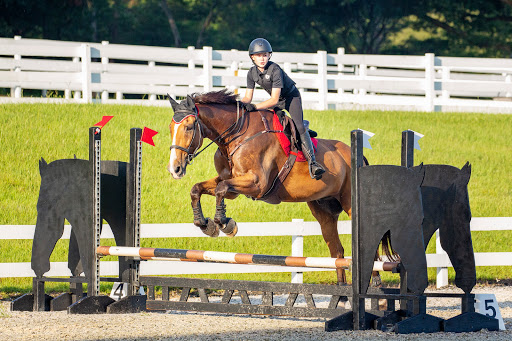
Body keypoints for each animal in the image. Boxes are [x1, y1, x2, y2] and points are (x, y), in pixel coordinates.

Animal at [166, 89, 390, 282]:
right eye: (170, 128)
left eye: (188, 127)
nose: (175, 168)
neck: (236, 135)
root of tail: (358, 157)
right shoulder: (231, 186)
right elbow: (198, 189)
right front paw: (205, 224)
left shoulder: (257, 184)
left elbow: (221, 190)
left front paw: (225, 224)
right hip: (323, 210)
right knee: (337, 251)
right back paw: (342, 297)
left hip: (351, 205)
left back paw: (375, 282)